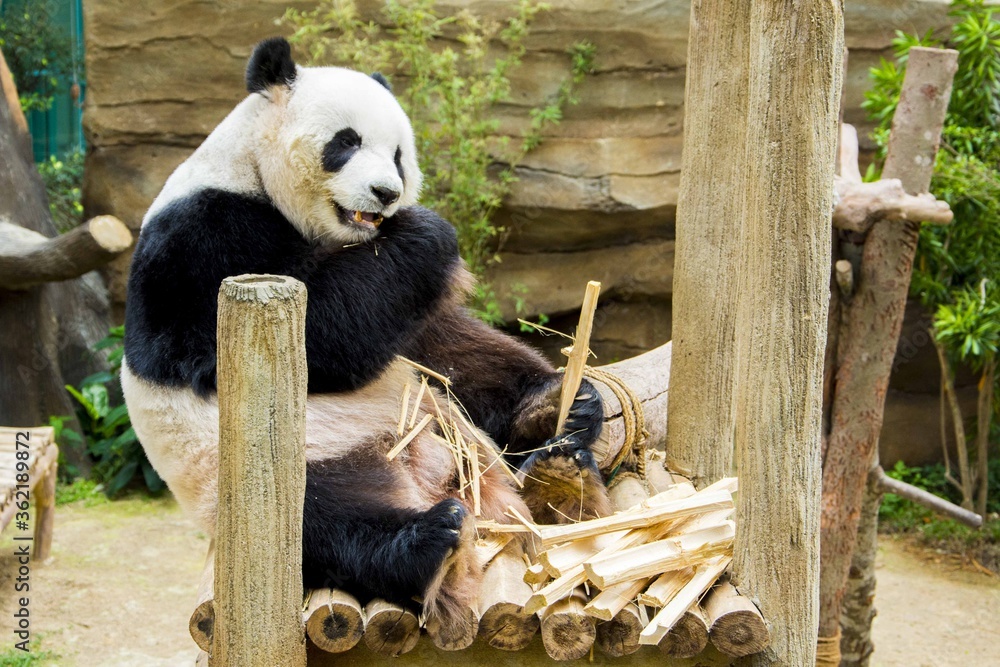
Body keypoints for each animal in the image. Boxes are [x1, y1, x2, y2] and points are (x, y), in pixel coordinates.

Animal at [121, 37, 611, 634]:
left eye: (398, 154)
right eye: (346, 142)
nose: (387, 193)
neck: (259, 179)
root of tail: (422, 472)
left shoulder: (401, 312)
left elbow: (435, 344)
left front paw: (552, 402)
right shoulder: (197, 242)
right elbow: (310, 341)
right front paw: (427, 231)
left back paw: (558, 440)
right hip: (255, 472)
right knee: (319, 523)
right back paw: (429, 541)